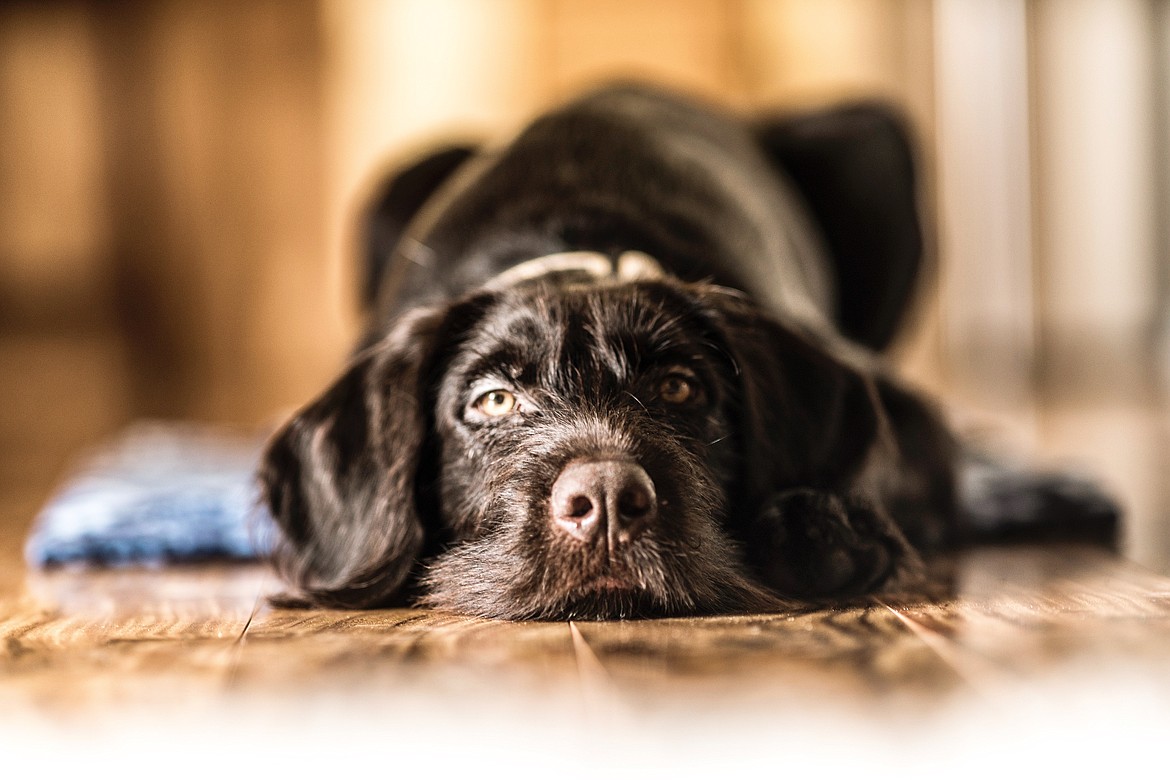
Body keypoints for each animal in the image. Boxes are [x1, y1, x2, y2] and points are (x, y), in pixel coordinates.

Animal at [260, 84, 1118, 622]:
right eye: (492, 400)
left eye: (679, 388)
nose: (607, 501)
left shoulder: (907, 418)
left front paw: (823, 527)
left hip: (873, 141)